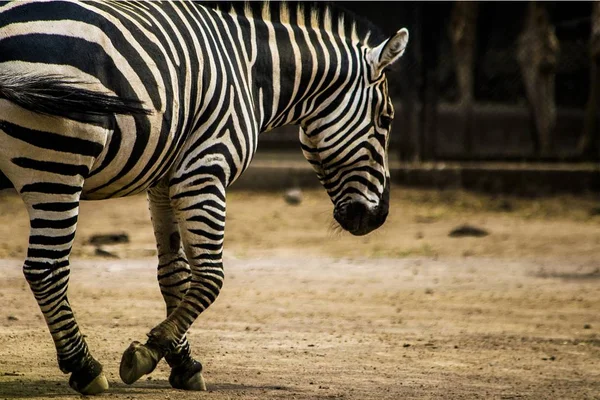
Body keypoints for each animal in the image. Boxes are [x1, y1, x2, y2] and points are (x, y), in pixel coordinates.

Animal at [0, 0, 408, 394]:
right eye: (386, 119)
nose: (380, 217)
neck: (253, 77)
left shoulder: (164, 180)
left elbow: (174, 274)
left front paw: (182, 363)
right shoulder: (204, 169)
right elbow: (211, 277)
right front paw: (149, 351)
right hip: (56, 164)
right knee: (45, 269)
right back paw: (84, 368)